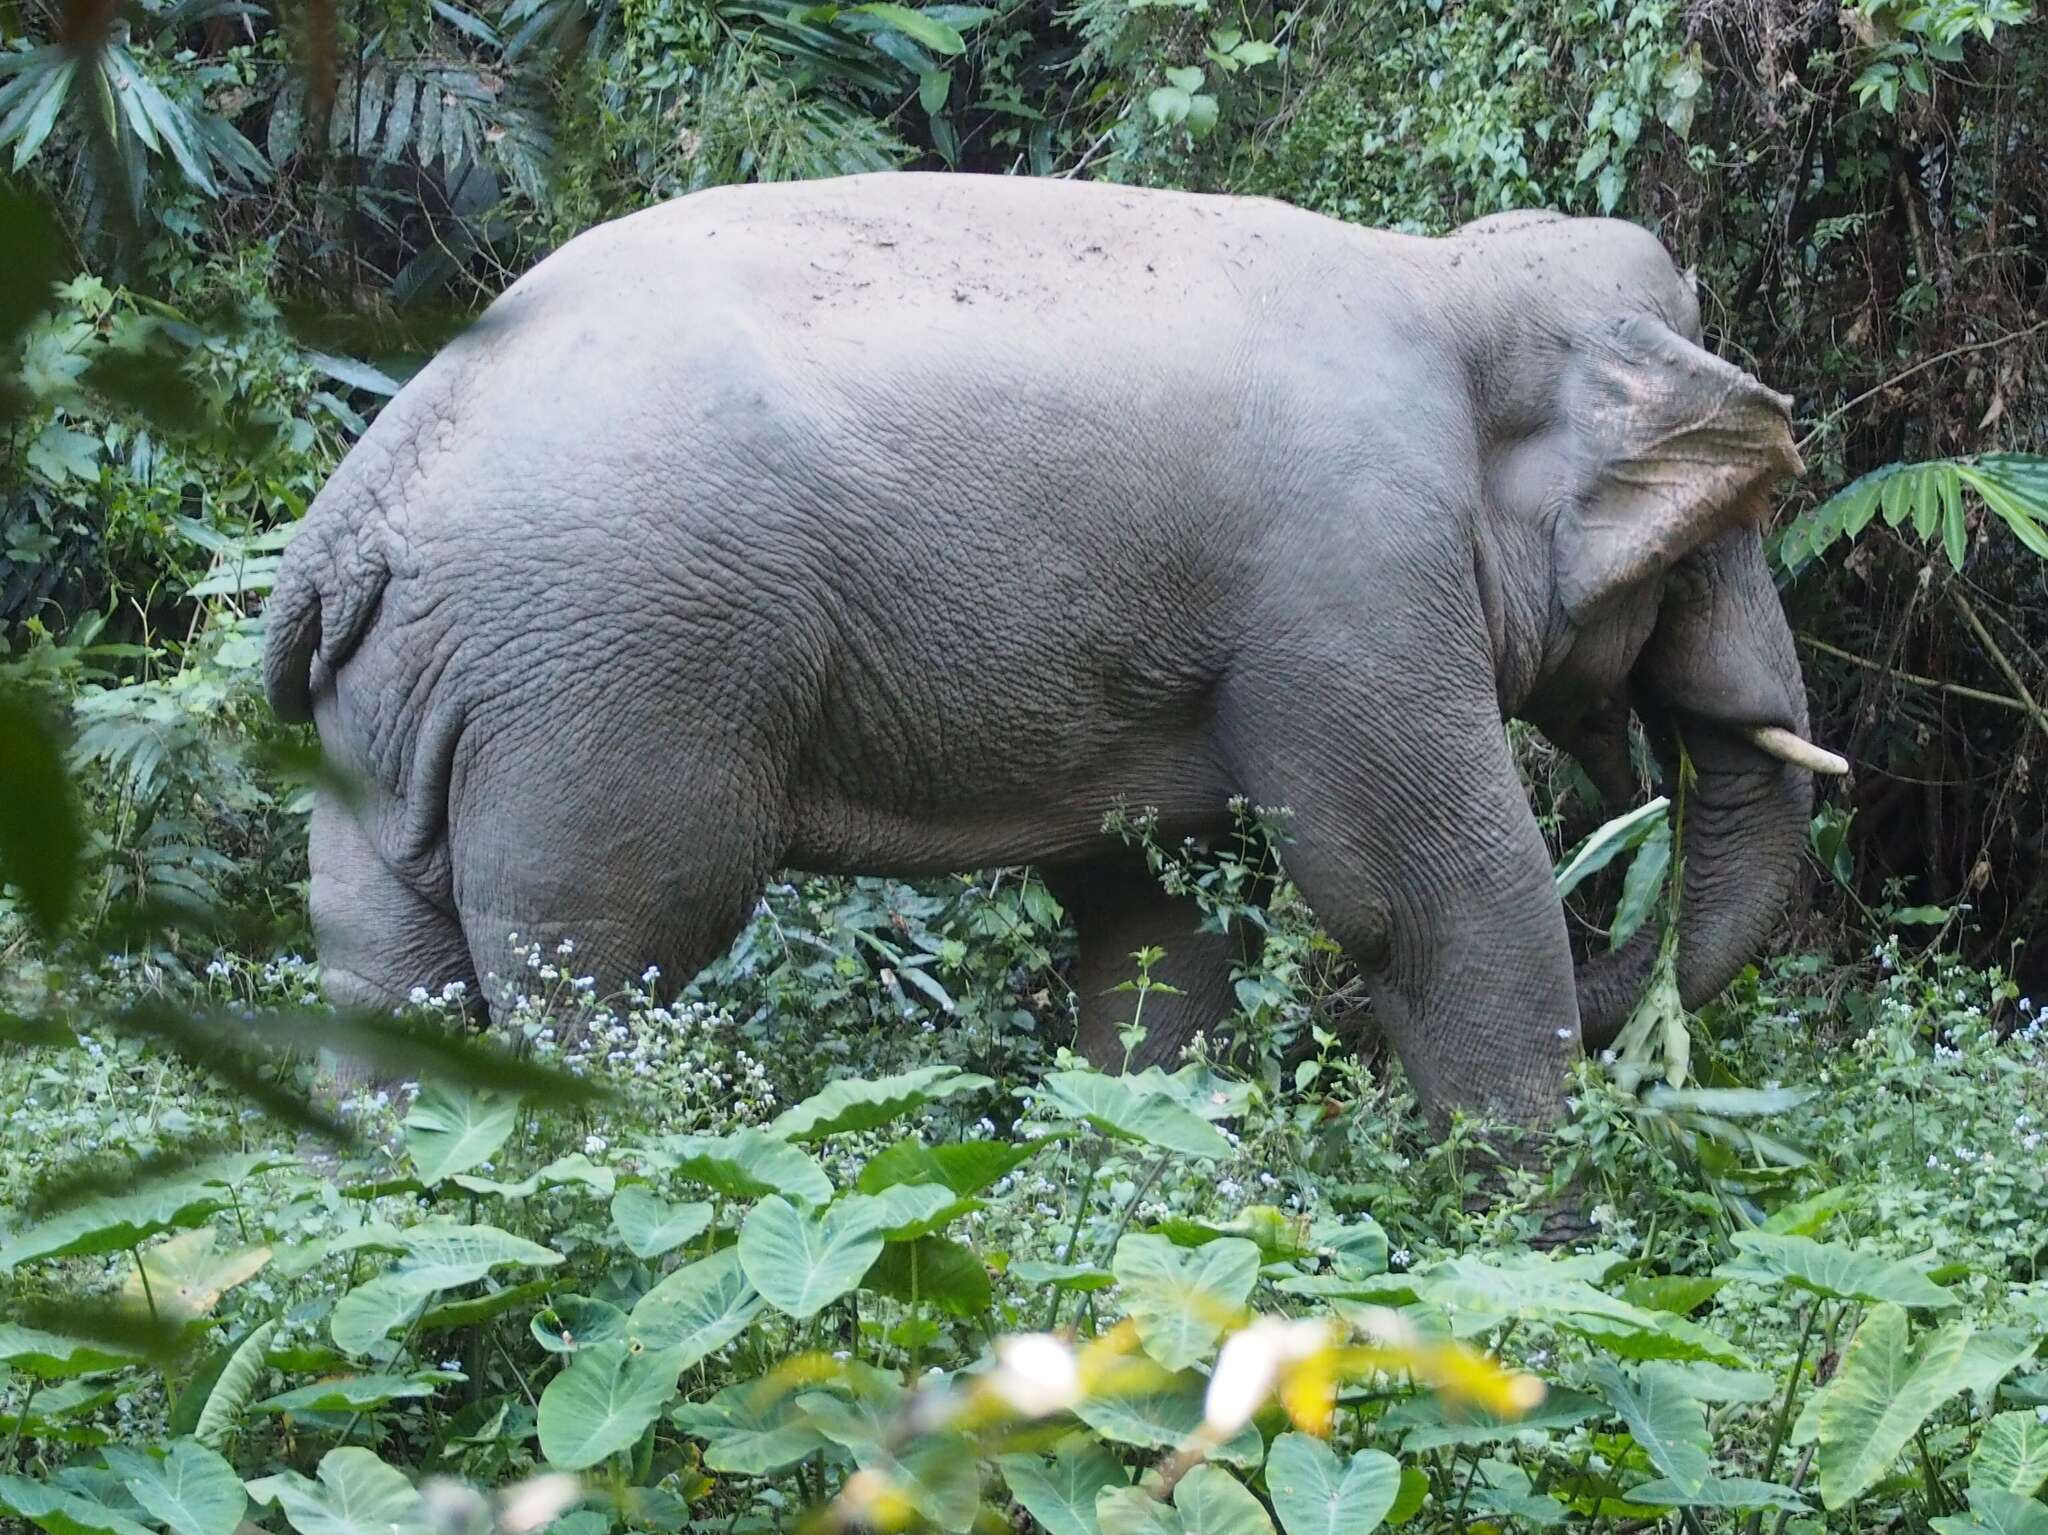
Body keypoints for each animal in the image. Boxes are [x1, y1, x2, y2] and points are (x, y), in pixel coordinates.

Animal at [264, 170, 1851, 1129]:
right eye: (1731, 517)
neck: (1451, 280)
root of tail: (364, 496)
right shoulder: (1352, 578)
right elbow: (1420, 892)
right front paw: (1532, 1248)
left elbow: (1154, 921)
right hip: (612, 683)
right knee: (604, 963)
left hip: (406, 711)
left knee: (384, 970)